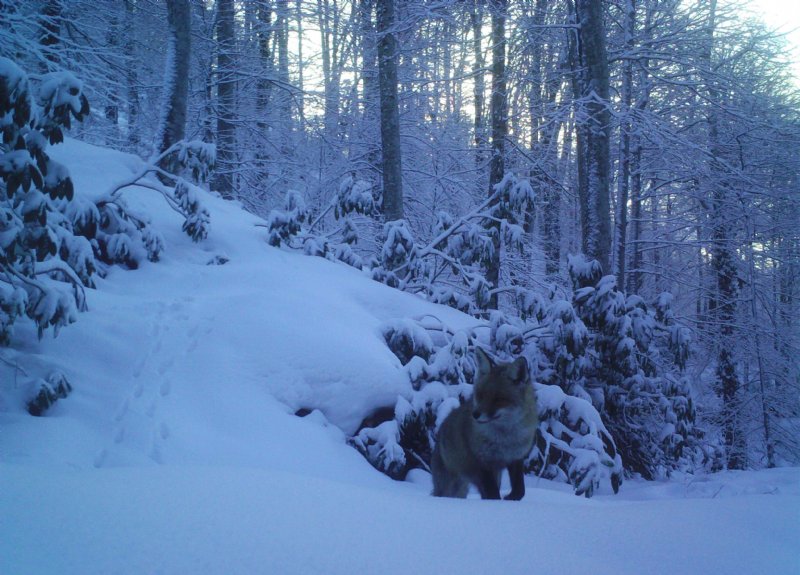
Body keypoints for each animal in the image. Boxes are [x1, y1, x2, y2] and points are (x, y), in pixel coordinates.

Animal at [432, 346, 536, 500]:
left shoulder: (515, 459)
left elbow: (520, 490)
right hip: (450, 485)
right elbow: (493, 494)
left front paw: (510, 498)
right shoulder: (482, 463)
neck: (506, 439)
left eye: (498, 399)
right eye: (480, 395)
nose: (475, 414)